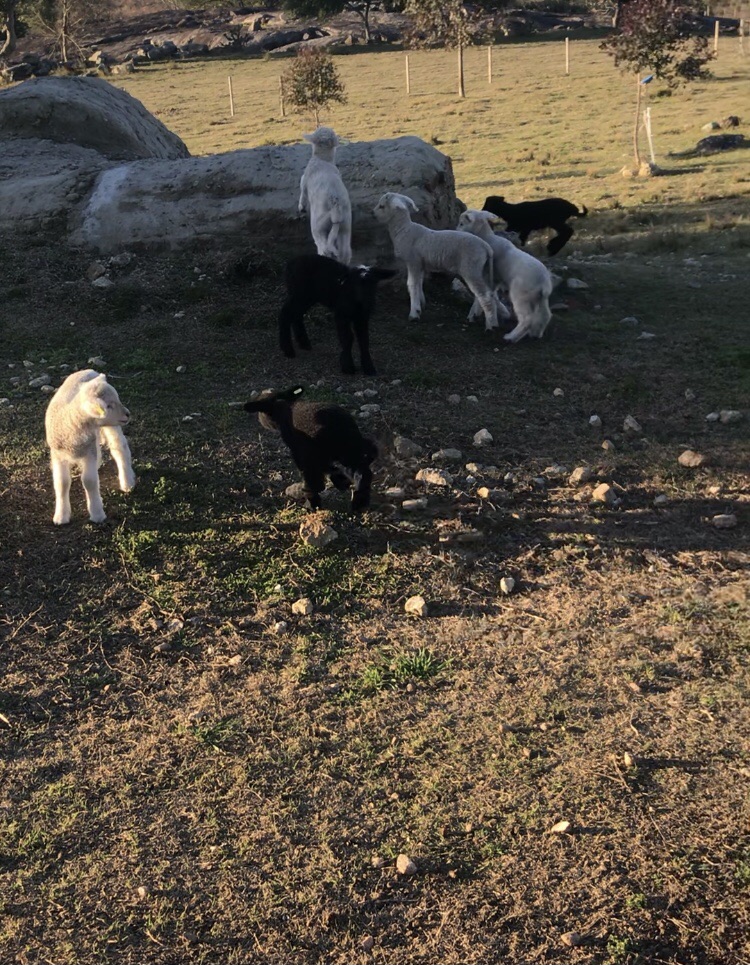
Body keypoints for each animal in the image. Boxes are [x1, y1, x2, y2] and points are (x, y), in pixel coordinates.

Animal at [44, 369, 135, 525]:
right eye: (108, 406)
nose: (127, 414)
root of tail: (89, 370)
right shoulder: (58, 454)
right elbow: (62, 483)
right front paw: (61, 516)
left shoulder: (89, 452)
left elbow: (89, 481)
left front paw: (97, 513)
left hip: (112, 427)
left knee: (119, 447)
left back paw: (127, 482)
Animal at [244, 385, 377, 512]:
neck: (282, 406)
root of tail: (338, 428)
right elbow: (330, 469)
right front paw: (341, 481)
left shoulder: (299, 450)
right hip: (351, 451)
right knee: (363, 473)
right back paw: (360, 504)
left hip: (320, 453)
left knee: (314, 482)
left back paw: (312, 505)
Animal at [298, 127, 353, 265]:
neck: (322, 159)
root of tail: (336, 205)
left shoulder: (305, 179)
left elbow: (302, 190)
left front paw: (301, 207)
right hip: (346, 225)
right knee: (345, 252)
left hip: (318, 225)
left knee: (322, 247)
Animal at [373, 192, 498, 331]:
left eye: (382, 206)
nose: (373, 214)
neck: (404, 230)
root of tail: (486, 247)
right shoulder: (420, 264)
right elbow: (419, 283)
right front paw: (420, 305)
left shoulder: (413, 261)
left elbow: (411, 284)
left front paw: (414, 314)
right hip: (480, 270)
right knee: (483, 293)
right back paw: (475, 316)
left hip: (471, 268)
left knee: (484, 295)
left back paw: (490, 325)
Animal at [457, 209, 555, 343]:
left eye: (462, 223)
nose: (455, 230)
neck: (487, 237)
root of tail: (543, 283)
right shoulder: (496, 280)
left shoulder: (488, 276)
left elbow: (481, 295)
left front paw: (476, 314)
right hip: (539, 298)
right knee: (545, 314)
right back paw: (536, 333)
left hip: (521, 295)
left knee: (527, 319)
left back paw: (511, 337)